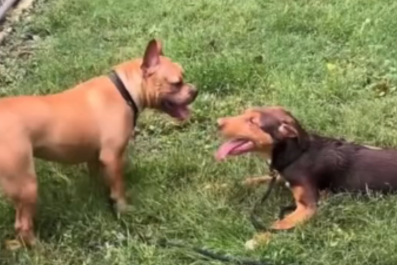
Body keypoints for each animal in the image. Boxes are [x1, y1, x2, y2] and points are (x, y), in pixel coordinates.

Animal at [0, 38, 197, 244]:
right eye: (177, 83)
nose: (195, 90)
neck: (124, 90)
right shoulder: (112, 157)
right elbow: (118, 187)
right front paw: (123, 209)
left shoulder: (95, 157)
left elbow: (98, 178)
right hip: (26, 185)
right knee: (22, 225)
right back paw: (38, 246)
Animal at [215, 105, 394, 229]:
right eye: (244, 113)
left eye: (252, 121)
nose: (217, 123)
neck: (295, 155)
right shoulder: (280, 176)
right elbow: (249, 180)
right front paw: (217, 187)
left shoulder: (308, 207)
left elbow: (278, 225)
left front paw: (256, 241)